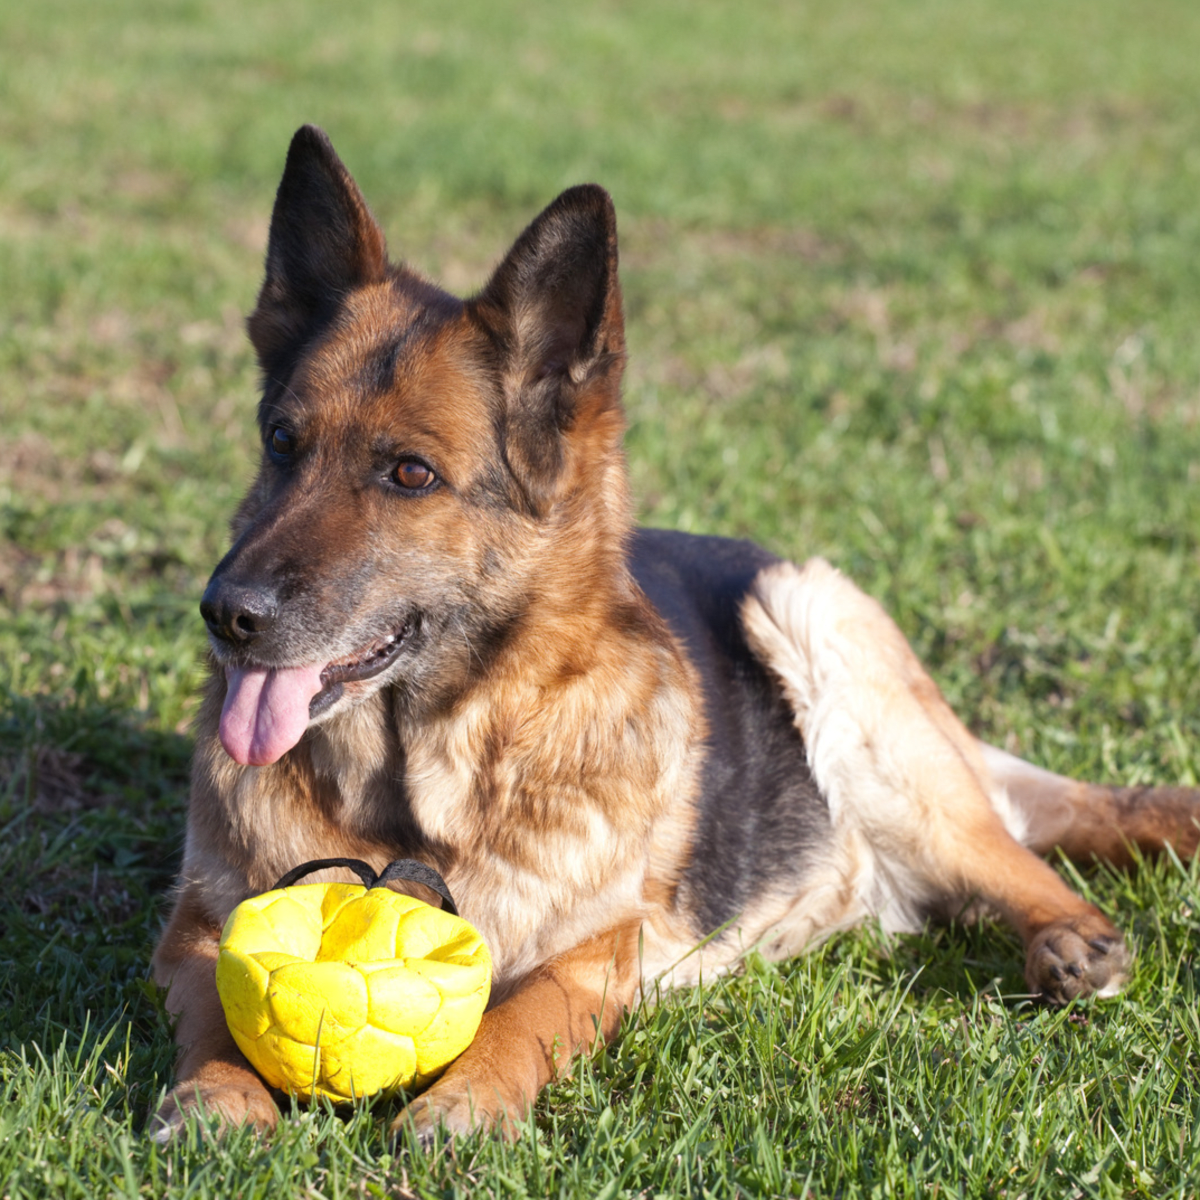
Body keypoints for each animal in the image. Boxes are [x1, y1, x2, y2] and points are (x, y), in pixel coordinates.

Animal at [154, 126, 1200, 1137]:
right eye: (280, 442)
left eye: (410, 474)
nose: (226, 614)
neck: (414, 793)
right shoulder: (196, 929)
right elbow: (219, 1003)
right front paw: (217, 1095)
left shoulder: (592, 953)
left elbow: (517, 1018)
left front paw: (465, 1105)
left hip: (819, 631)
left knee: (1009, 851)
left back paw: (1072, 939)